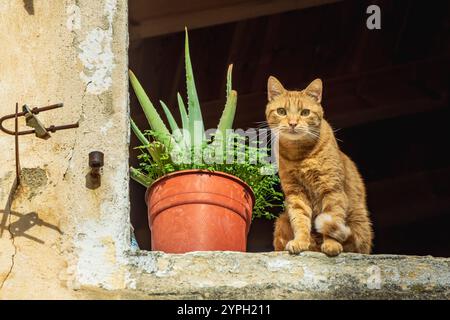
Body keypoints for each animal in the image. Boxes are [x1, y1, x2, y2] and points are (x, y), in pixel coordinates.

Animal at [268, 76, 372, 256]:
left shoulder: (331, 190)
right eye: (281, 111)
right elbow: (300, 220)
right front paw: (301, 241)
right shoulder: (296, 193)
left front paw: (331, 244)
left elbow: (332, 216)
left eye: (305, 113)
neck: (300, 154)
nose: (293, 123)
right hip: (281, 220)